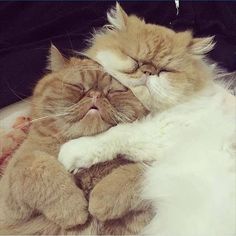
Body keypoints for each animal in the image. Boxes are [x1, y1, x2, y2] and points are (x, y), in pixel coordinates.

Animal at [0, 45, 153, 234]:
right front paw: (71, 208)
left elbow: (141, 171)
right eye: (77, 86)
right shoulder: (8, 203)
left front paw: (100, 199)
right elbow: (33, 163)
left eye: (115, 91)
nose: (95, 94)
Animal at [58, 3, 236, 236]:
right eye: (135, 61)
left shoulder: (164, 130)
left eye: (165, 70)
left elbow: (117, 134)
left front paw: (71, 153)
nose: (149, 71)